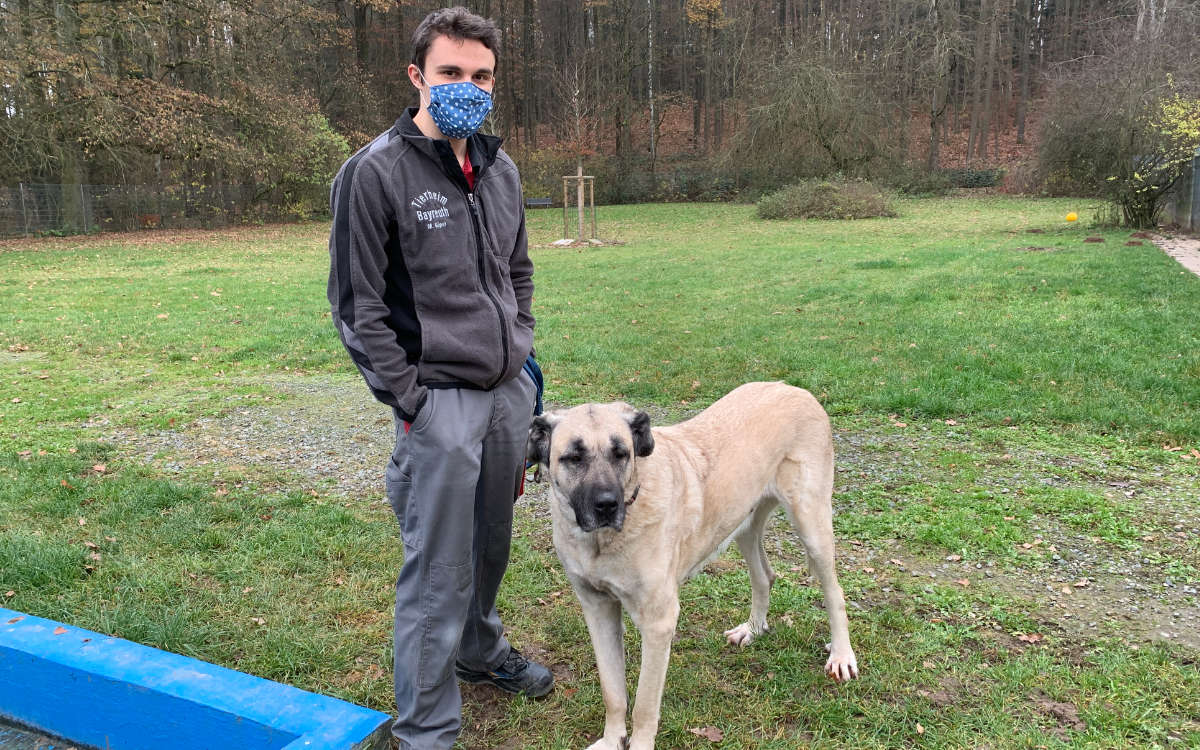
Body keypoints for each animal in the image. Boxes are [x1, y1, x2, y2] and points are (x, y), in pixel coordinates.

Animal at [530, 379, 859, 748]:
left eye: (621, 453)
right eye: (573, 457)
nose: (607, 505)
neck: (602, 541)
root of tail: (794, 388)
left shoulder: (659, 622)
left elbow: (644, 704)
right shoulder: (598, 609)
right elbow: (613, 692)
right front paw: (613, 739)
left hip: (811, 523)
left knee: (834, 592)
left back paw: (841, 655)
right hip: (743, 521)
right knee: (764, 575)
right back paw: (753, 628)